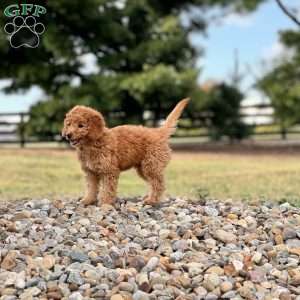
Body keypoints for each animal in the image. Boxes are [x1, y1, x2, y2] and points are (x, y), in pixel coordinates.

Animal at [62, 98, 190, 206]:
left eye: (81, 125)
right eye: (68, 124)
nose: (68, 135)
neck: (92, 143)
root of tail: (158, 132)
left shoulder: (109, 171)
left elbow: (108, 189)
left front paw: (105, 202)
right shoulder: (91, 172)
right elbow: (91, 188)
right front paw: (88, 200)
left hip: (151, 166)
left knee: (158, 184)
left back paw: (152, 200)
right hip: (143, 169)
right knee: (154, 183)